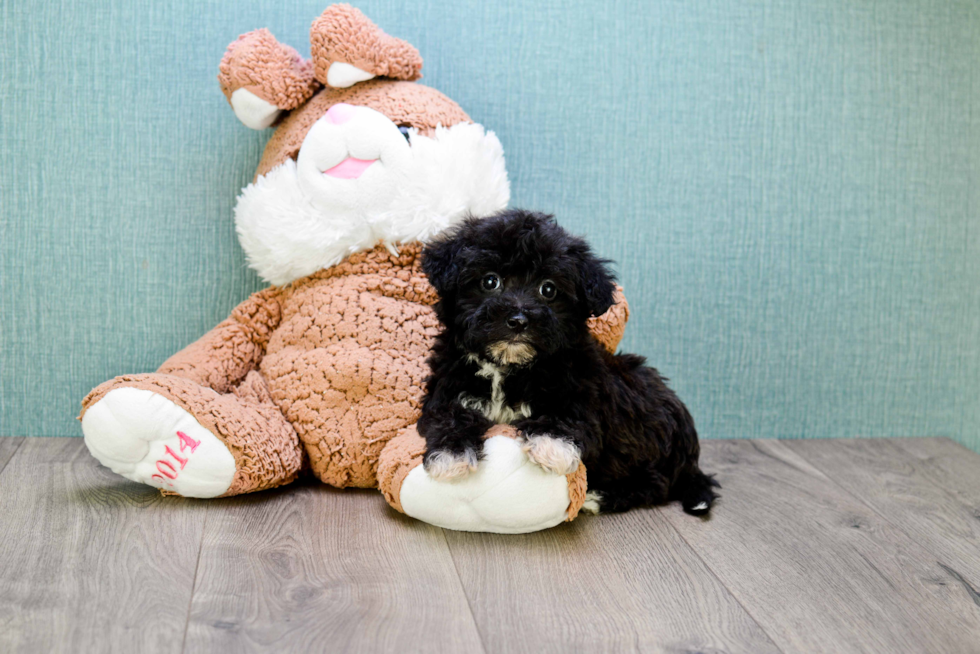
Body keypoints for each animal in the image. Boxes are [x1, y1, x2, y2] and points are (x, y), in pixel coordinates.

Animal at [418, 210, 716, 516]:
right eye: (490, 281)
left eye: (548, 289)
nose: (518, 320)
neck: (508, 367)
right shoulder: (449, 390)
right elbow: (449, 416)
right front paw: (451, 455)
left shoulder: (582, 390)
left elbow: (569, 416)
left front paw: (551, 445)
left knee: (657, 482)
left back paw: (598, 496)